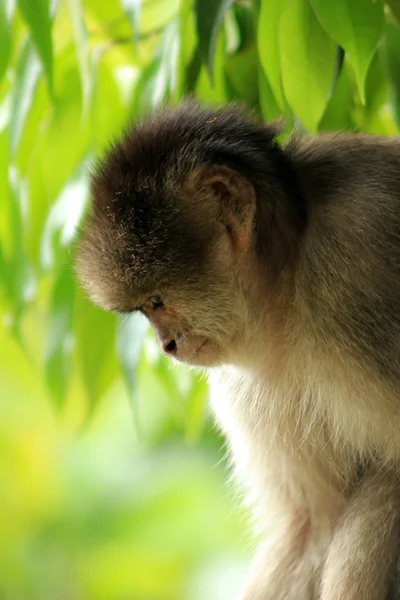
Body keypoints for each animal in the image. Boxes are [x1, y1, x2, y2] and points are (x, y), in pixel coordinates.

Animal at [76, 104, 400, 600]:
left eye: (157, 302)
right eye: (147, 310)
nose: (167, 346)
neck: (293, 280)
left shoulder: (358, 271)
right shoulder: (250, 380)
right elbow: (311, 526)